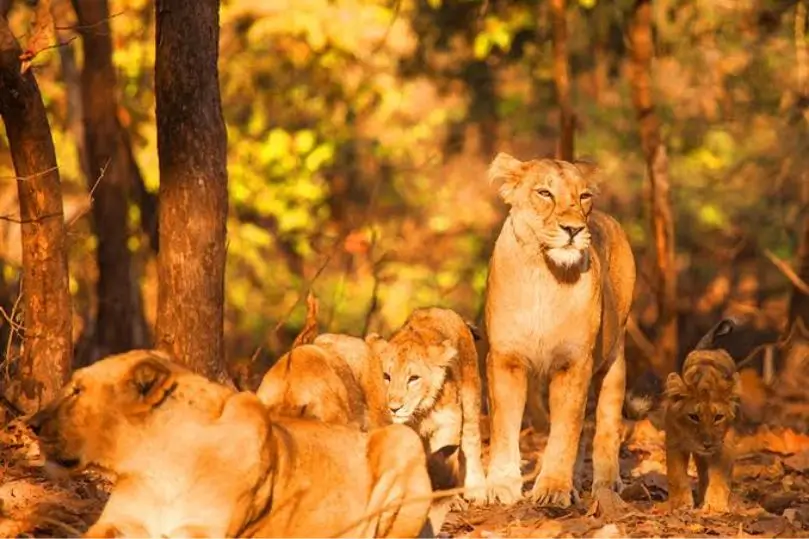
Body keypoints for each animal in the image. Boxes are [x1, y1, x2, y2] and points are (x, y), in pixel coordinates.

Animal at [27, 350, 433, 538]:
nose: (31, 424)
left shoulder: (204, 531)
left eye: (78, 391)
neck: (159, 467)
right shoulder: (118, 522)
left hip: (403, 440)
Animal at [365, 307, 486, 504]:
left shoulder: (448, 423)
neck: (420, 413)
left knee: (471, 441)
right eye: (386, 376)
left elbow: (444, 461)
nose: (394, 408)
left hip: (471, 397)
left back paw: (476, 491)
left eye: (413, 378)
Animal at [483, 153, 636, 507]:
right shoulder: (505, 359)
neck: (543, 275)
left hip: (614, 358)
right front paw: (501, 485)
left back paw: (605, 485)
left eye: (584, 196)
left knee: (605, 424)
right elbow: (504, 425)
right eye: (544, 193)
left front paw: (553, 489)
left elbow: (566, 431)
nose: (574, 229)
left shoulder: (574, 362)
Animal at [664, 318, 741, 513]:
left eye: (718, 417)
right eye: (694, 416)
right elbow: (676, 474)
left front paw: (715, 505)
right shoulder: (674, 441)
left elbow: (720, 476)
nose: (707, 444)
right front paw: (680, 503)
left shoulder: (725, 442)